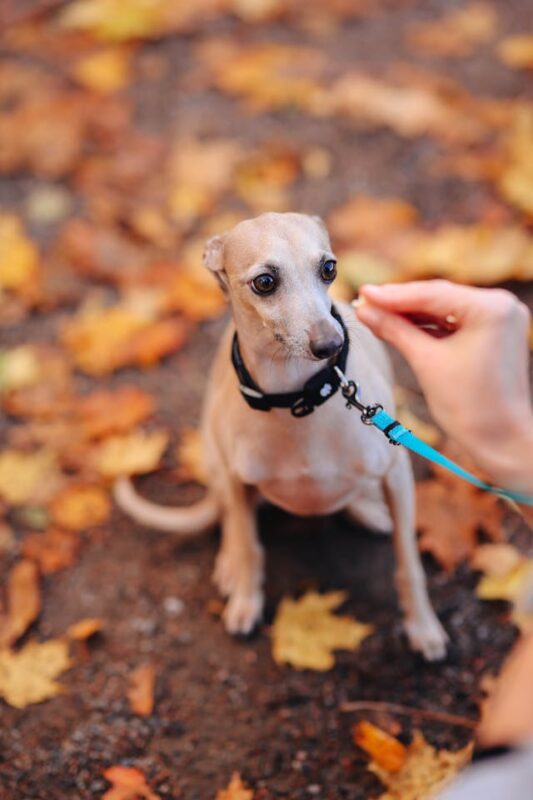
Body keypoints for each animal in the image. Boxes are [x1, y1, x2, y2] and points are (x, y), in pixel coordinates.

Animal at [114, 209, 446, 660]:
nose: (331, 343)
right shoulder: (237, 482)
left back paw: (367, 510)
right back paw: (228, 563)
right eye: (265, 281)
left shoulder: (397, 472)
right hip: (215, 462)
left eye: (329, 268)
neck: (299, 401)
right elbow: (249, 546)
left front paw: (423, 627)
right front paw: (245, 601)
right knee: (230, 520)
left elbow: (408, 562)